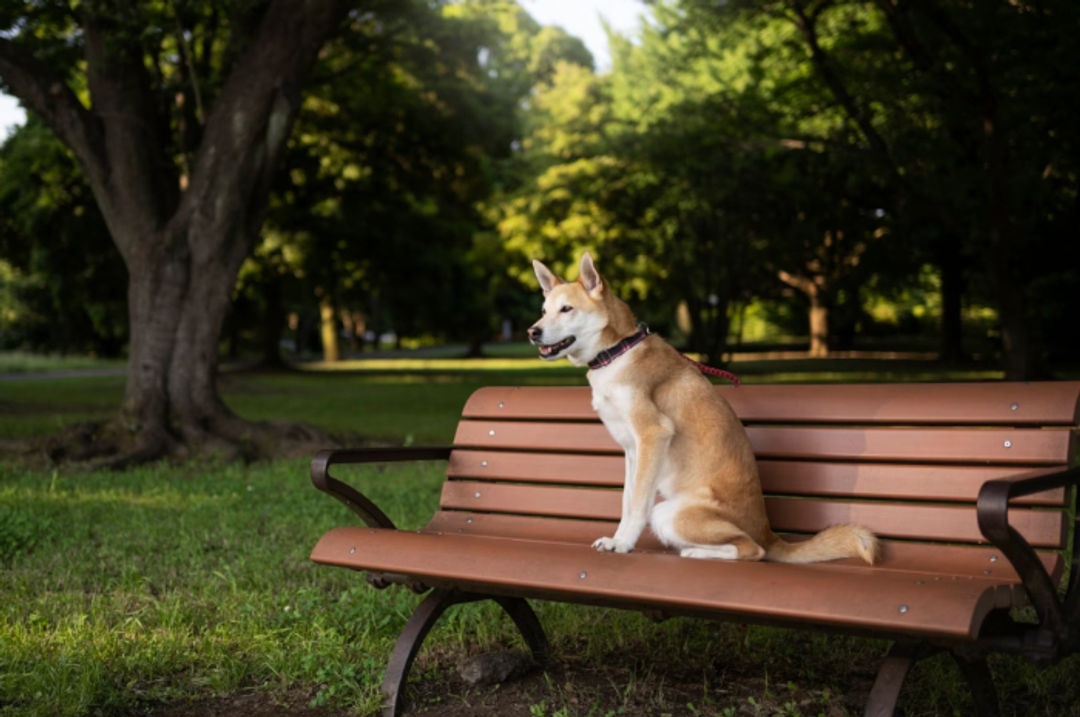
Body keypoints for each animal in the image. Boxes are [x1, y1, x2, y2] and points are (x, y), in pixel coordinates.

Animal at [529, 254, 876, 561]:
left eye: (567, 309)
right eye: (543, 310)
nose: (532, 331)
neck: (616, 351)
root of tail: (770, 534)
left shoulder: (652, 435)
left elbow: (638, 504)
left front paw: (623, 544)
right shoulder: (633, 451)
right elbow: (628, 501)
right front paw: (618, 537)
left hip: (669, 513)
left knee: (752, 550)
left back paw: (698, 552)